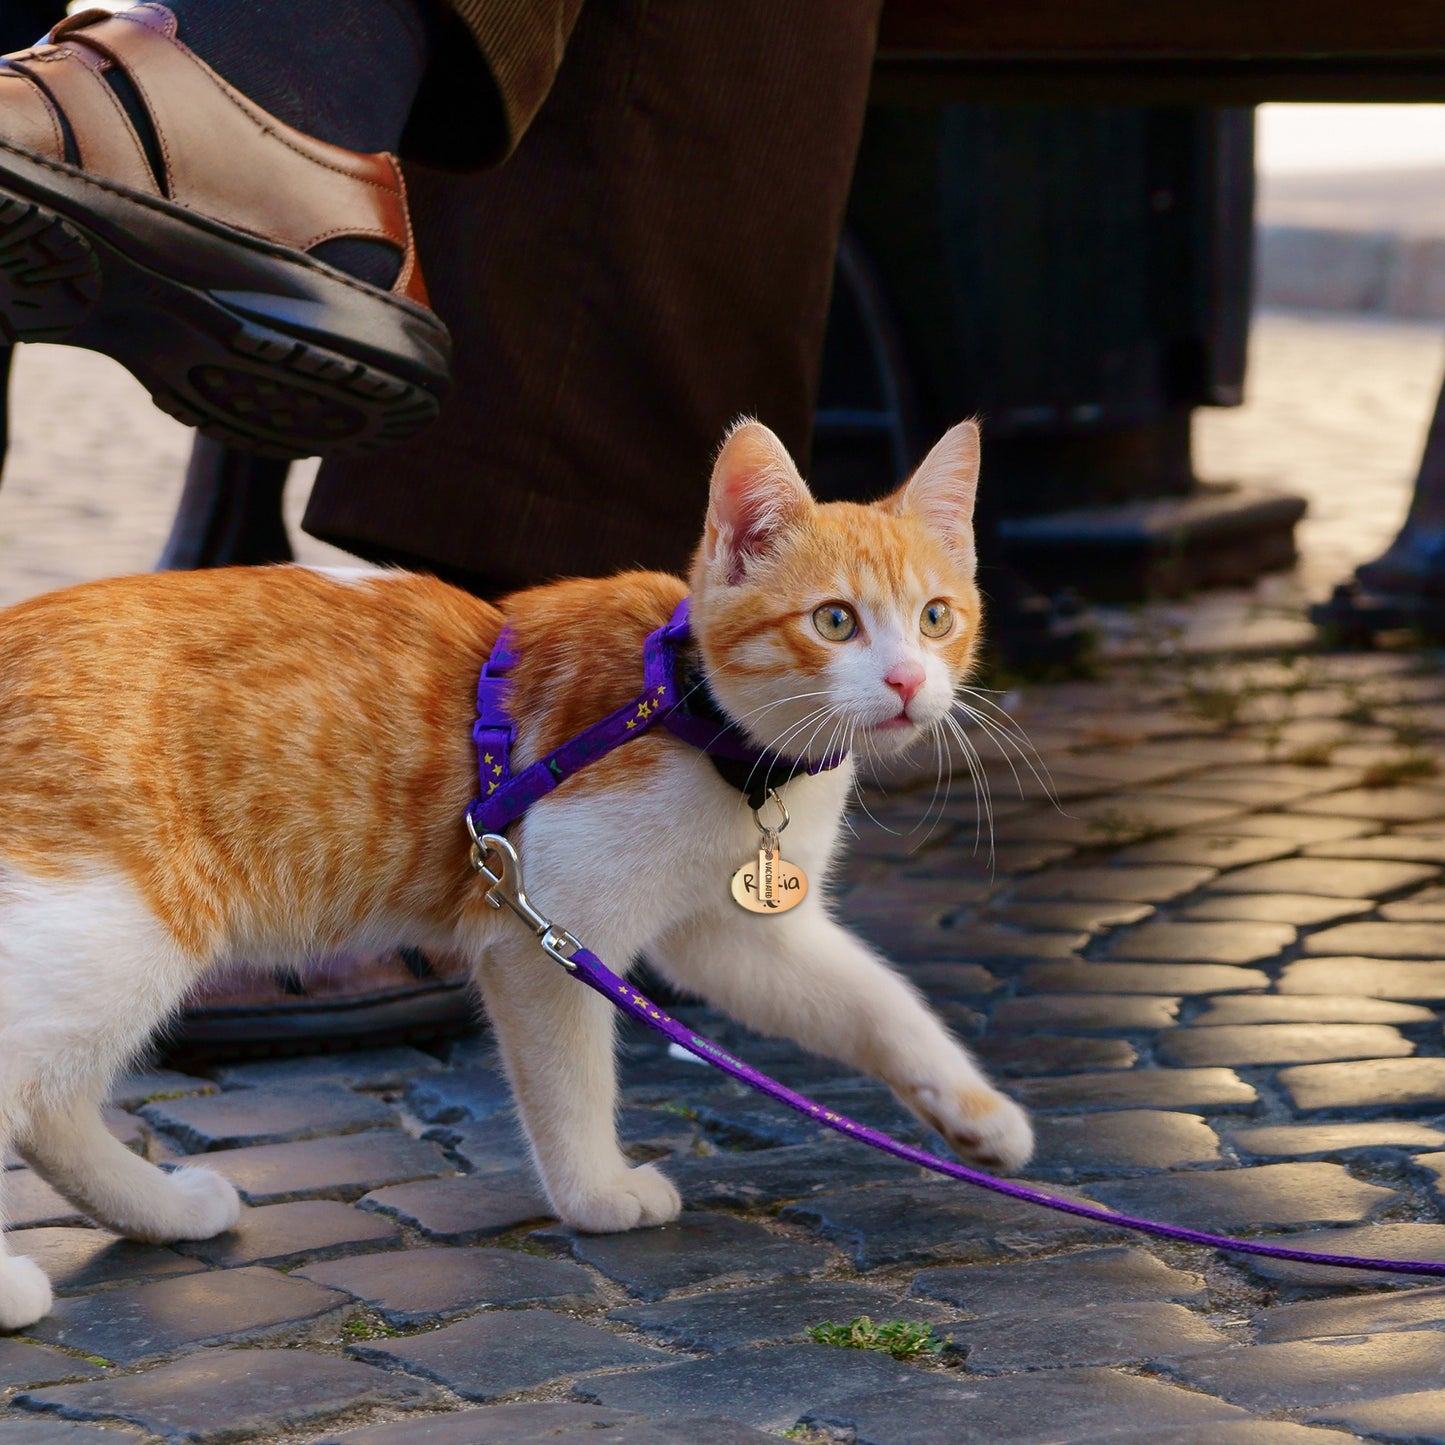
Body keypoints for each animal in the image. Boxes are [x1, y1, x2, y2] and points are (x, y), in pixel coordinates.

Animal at [0, 413, 1028, 1323]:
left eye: (936, 617)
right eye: (834, 620)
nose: (907, 681)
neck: (700, 722)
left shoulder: (730, 936)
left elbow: (873, 1000)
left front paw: (974, 1111)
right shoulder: (545, 932)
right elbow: (572, 1082)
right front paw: (598, 1193)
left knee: (53, 1103)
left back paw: (163, 1211)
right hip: (116, 927)